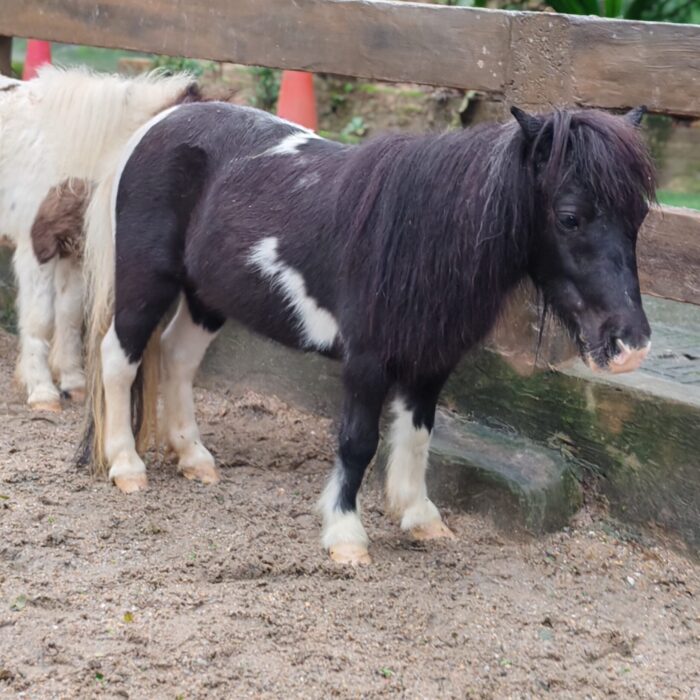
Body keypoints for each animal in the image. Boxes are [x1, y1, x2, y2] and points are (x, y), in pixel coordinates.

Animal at [0, 65, 199, 411]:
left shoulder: (74, 252)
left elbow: (68, 314)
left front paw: (72, 383)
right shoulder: (35, 250)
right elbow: (41, 319)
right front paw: (42, 391)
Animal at [81, 101, 655, 565]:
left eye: (639, 216)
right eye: (570, 217)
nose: (630, 345)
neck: (420, 234)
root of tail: (158, 124)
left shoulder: (430, 362)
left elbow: (418, 435)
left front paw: (420, 516)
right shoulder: (366, 362)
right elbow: (358, 443)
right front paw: (345, 535)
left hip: (207, 297)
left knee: (177, 358)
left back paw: (194, 459)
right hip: (146, 283)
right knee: (119, 358)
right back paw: (126, 465)